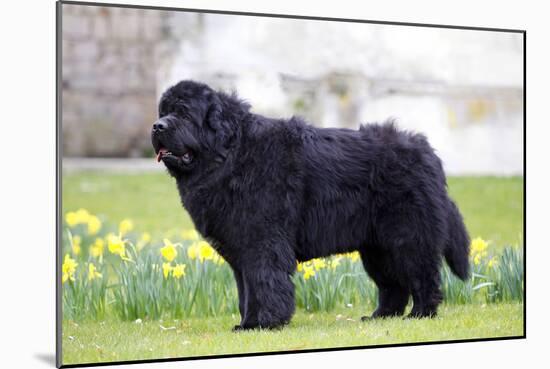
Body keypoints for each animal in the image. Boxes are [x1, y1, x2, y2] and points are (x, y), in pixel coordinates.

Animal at [153, 79, 472, 330]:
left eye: (183, 113)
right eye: (163, 112)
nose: (157, 126)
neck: (231, 154)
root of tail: (427, 151)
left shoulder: (262, 242)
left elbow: (264, 282)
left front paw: (264, 323)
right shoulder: (241, 249)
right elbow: (246, 290)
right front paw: (246, 323)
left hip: (407, 236)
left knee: (423, 276)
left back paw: (420, 314)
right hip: (377, 248)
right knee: (393, 284)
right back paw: (381, 316)